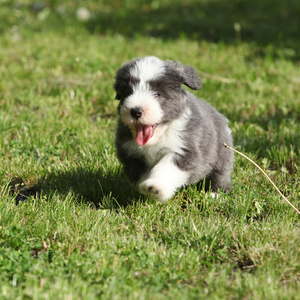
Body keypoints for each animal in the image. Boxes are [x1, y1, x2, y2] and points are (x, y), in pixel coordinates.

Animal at [113, 55, 233, 204]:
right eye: (128, 92)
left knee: (220, 176)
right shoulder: (131, 155)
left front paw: (155, 186)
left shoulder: (184, 150)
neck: (160, 136)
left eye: (157, 94)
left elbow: (166, 168)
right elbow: (142, 174)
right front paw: (149, 192)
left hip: (222, 156)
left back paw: (215, 195)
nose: (135, 111)